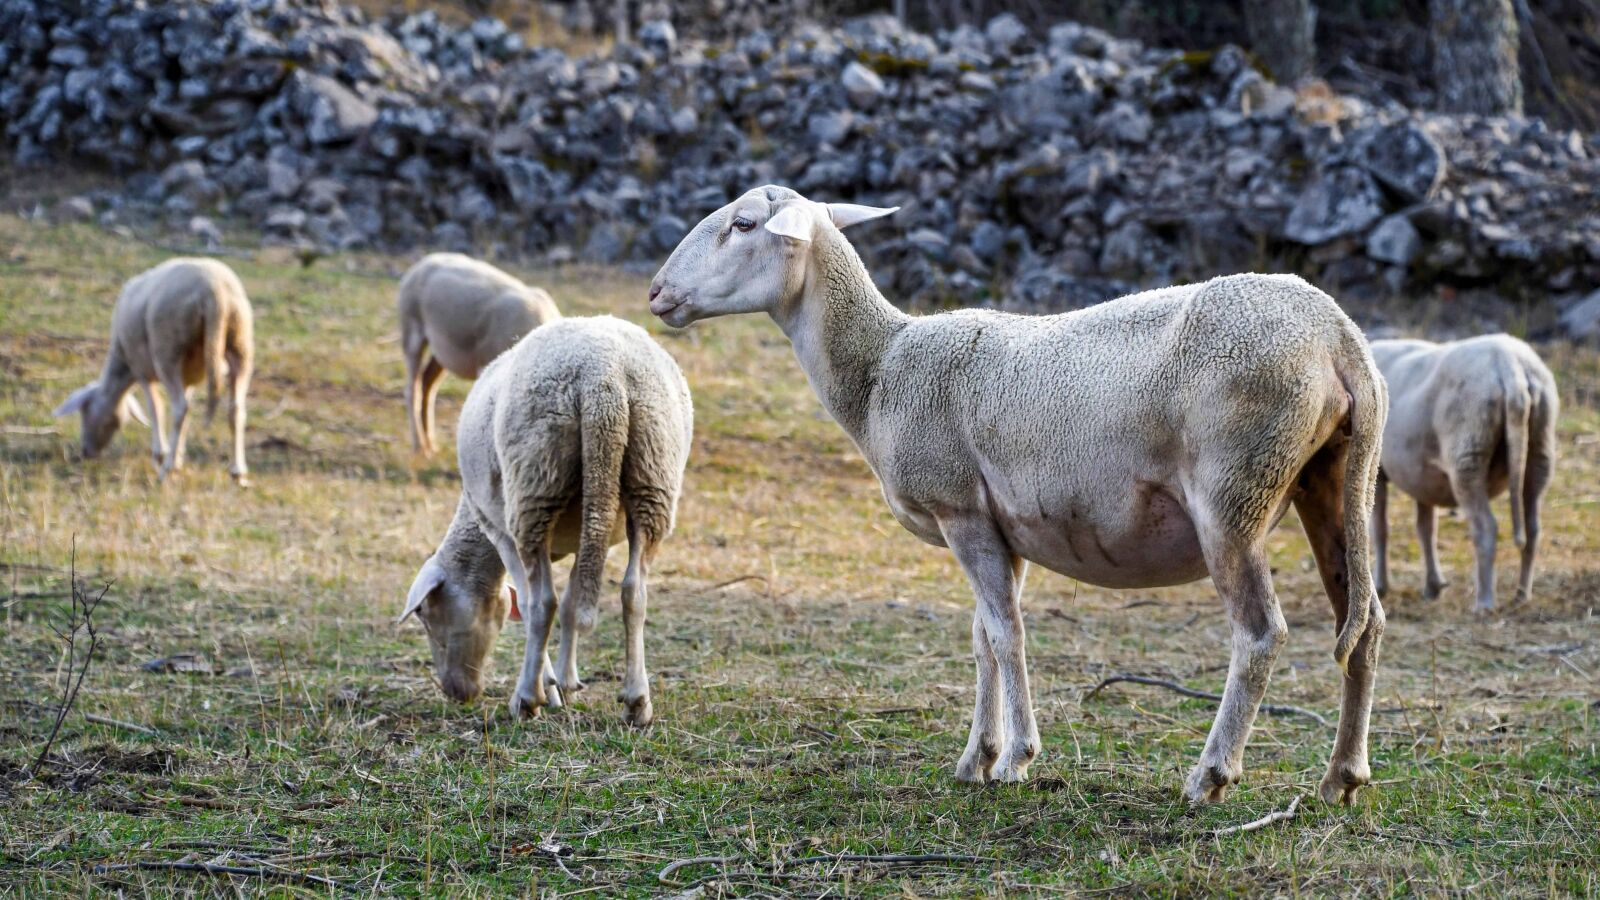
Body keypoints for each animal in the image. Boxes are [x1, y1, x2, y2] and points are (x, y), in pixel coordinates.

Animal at [52, 257, 254, 484]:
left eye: (84, 412)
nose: (87, 453)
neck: (123, 368)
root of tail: (214, 293)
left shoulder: (141, 370)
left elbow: (155, 408)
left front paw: (162, 454)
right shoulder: (189, 375)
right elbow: (186, 415)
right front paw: (178, 454)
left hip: (167, 348)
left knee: (179, 408)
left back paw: (167, 469)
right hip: (240, 341)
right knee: (236, 409)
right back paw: (238, 470)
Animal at [398, 253, 561, 456]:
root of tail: (424, 261)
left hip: (442, 350)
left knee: (427, 383)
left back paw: (432, 445)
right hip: (411, 329)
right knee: (412, 389)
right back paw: (420, 448)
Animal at [398, 315, 693, 726]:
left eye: (425, 614)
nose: (457, 693)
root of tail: (603, 379)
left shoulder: (500, 532)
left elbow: (530, 602)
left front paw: (549, 687)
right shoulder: (588, 536)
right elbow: (571, 602)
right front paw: (566, 683)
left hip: (534, 486)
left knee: (542, 604)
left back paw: (525, 699)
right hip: (652, 477)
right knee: (634, 592)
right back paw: (637, 702)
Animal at [649, 185, 1388, 805]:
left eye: (744, 224)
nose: (656, 293)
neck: (879, 368)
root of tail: (1338, 335)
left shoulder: (958, 508)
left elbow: (1007, 636)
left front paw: (1016, 758)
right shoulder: (1002, 523)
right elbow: (983, 635)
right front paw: (977, 754)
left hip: (1234, 492)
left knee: (1261, 633)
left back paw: (1211, 774)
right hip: (1331, 481)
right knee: (1366, 623)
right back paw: (1342, 777)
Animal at [1369, 335, 1559, 611]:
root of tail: (1510, 366)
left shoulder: (1379, 470)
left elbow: (1380, 529)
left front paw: (1381, 586)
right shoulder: (1422, 477)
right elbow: (1426, 529)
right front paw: (1433, 585)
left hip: (1468, 451)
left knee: (1486, 527)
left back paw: (1484, 601)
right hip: (1540, 445)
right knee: (1533, 528)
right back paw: (1522, 594)